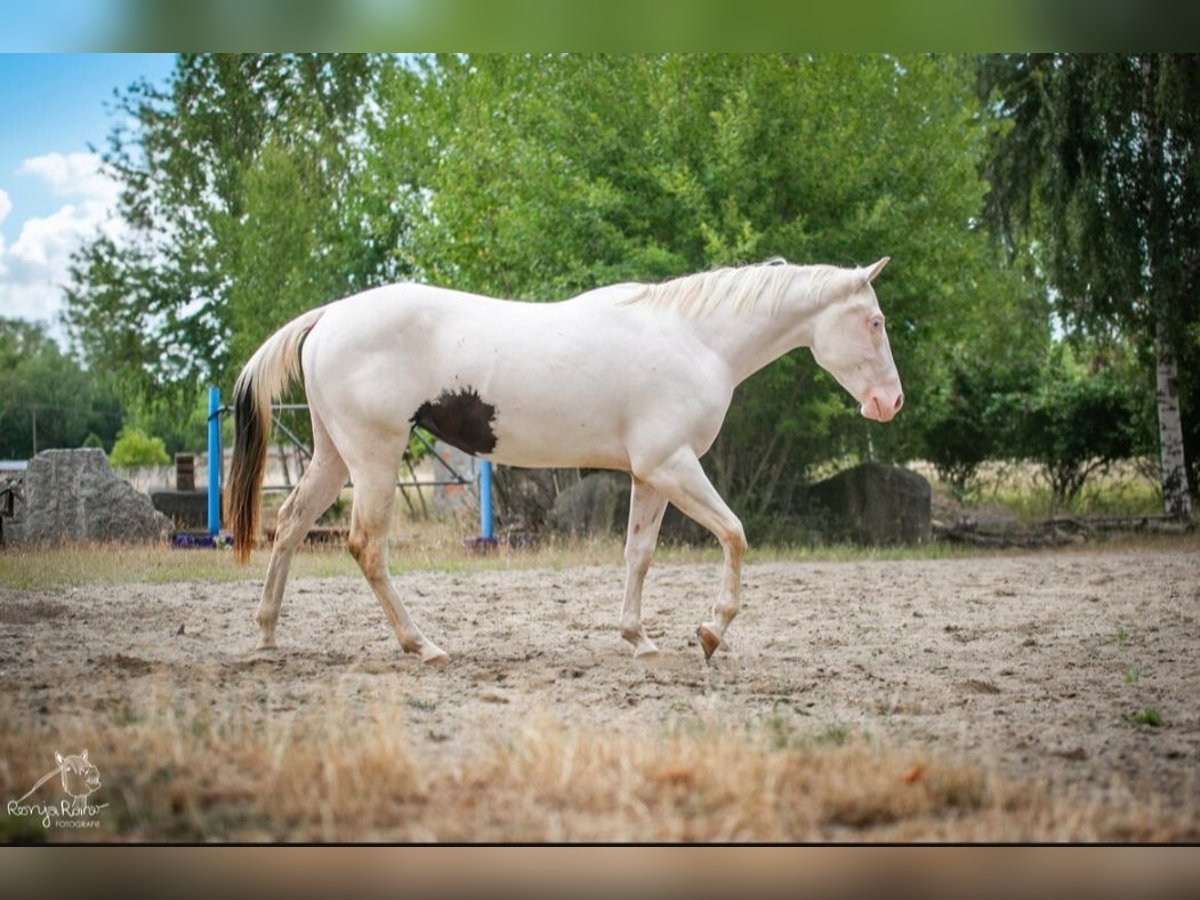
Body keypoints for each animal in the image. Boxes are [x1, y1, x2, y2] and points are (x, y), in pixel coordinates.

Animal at [226, 257, 903, 665]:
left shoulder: (652, 475)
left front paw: (639, 639)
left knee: (290, 525)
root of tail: (329, 317)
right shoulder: (674, 466)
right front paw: (712, 632)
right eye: (874, 321)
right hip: (374, 458)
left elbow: (639, 554)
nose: (889, 402)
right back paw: (422, 644)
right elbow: (734, 535)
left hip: (334, 457)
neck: (693, 338)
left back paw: (266, 635)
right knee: (366, 546)